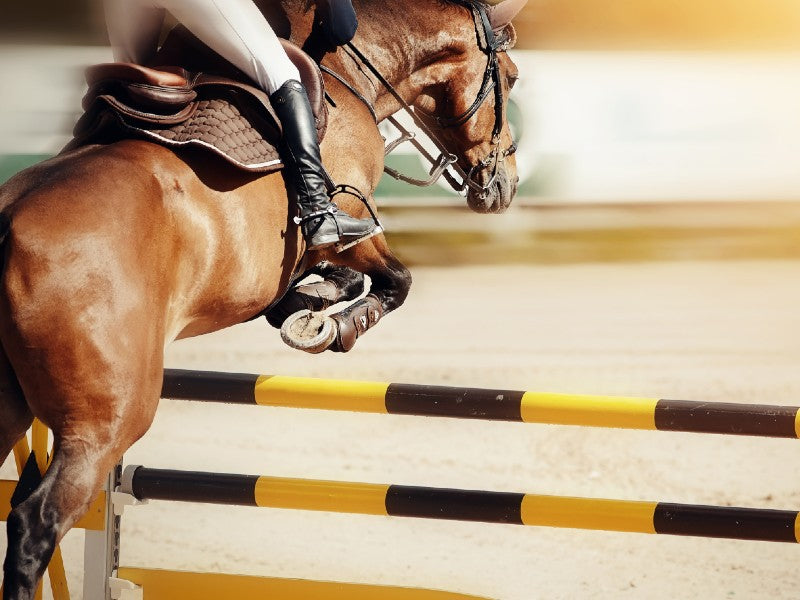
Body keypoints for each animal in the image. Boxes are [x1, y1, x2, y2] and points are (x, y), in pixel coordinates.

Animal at [0, 0, 522, 597]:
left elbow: (325, 287)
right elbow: (394, 280)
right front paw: (332, 324)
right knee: (36, 521)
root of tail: (8, 222)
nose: (505, 185)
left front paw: (306, 306)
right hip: (105, 420)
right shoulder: (355, 223)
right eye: (511, 78)